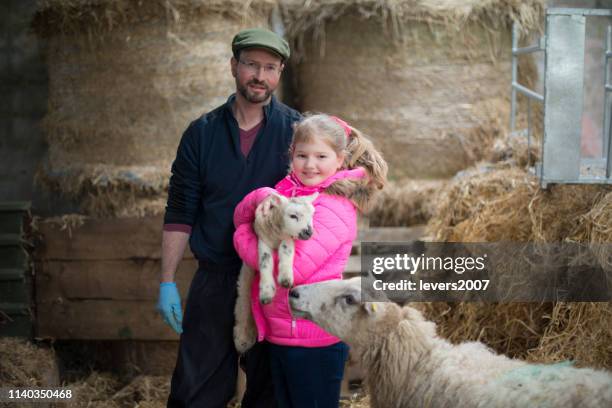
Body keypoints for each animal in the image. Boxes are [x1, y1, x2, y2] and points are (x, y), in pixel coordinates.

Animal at [233, 193, 318, 352]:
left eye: (312, 216)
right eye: (293, 216)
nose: (308, 232)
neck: (277, 234)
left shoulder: (287, 238)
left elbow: (286, 250)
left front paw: (285, 279)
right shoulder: (262, 239)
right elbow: (265, 260)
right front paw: (266, 292)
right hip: (245, 276)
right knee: (243, 298)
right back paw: (242, 338)